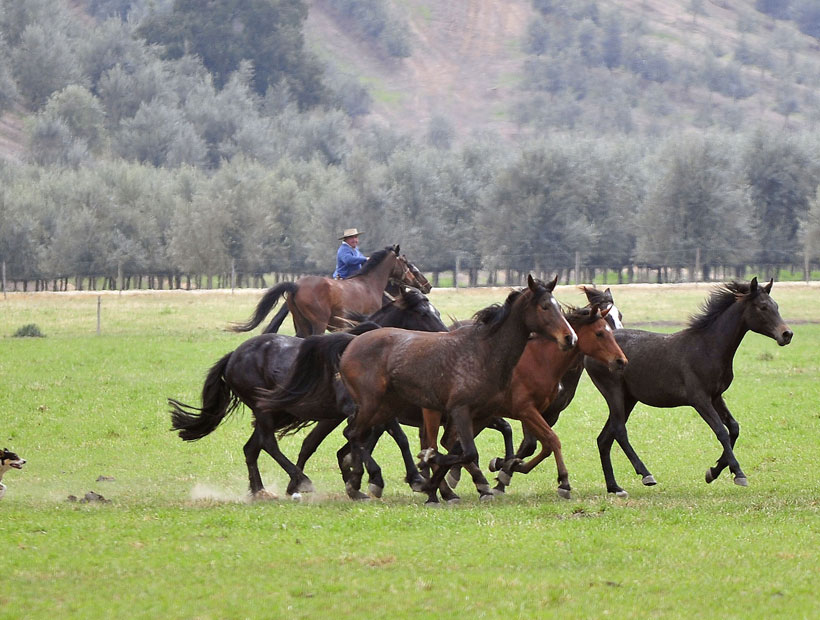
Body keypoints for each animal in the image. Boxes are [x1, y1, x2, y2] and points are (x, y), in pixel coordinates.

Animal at [168, 290, 448, 498]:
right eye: (423, 313)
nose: (444, 334)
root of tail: (233, 356)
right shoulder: (356, 410)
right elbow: (380, 437)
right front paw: (378, 479)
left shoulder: (371, 411)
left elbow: (394, 438)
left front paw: (409, 478)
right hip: (264, 410)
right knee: (268, 443)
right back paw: (300, 481)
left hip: (272, 414)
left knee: (251, 448)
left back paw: (260, 490)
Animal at [231, 245, 430, 336]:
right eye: (407, 263)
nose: (426, 285)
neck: (370, 284)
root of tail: (296, 285)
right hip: (318, 324)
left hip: (302, 324)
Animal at [334, 276, 576, 504]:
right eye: (544, 306)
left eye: (558, 306)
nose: (570, 337)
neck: (484, 352)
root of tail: (351, 345)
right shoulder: (461, 410)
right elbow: (466, 452)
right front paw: (433, 468)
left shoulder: (484, 414)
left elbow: (460, 449)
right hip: (371, 404)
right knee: (354, 434)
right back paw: (361, 482)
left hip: (385, 409)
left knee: (354, 436)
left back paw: (358, 482)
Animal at [588, 278, 792, 496]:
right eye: (762, 307)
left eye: (776, 306)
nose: (787, 334)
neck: (707, 348)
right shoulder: (700, 400)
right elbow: (721, 431)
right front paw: (738, 473)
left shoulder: (716, 396)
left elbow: (734, 428)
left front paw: (713, 472)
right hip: (614, 392)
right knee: (619, 430)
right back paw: (646, 475)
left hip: (629, 398)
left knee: (604, 438)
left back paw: (614, 487)